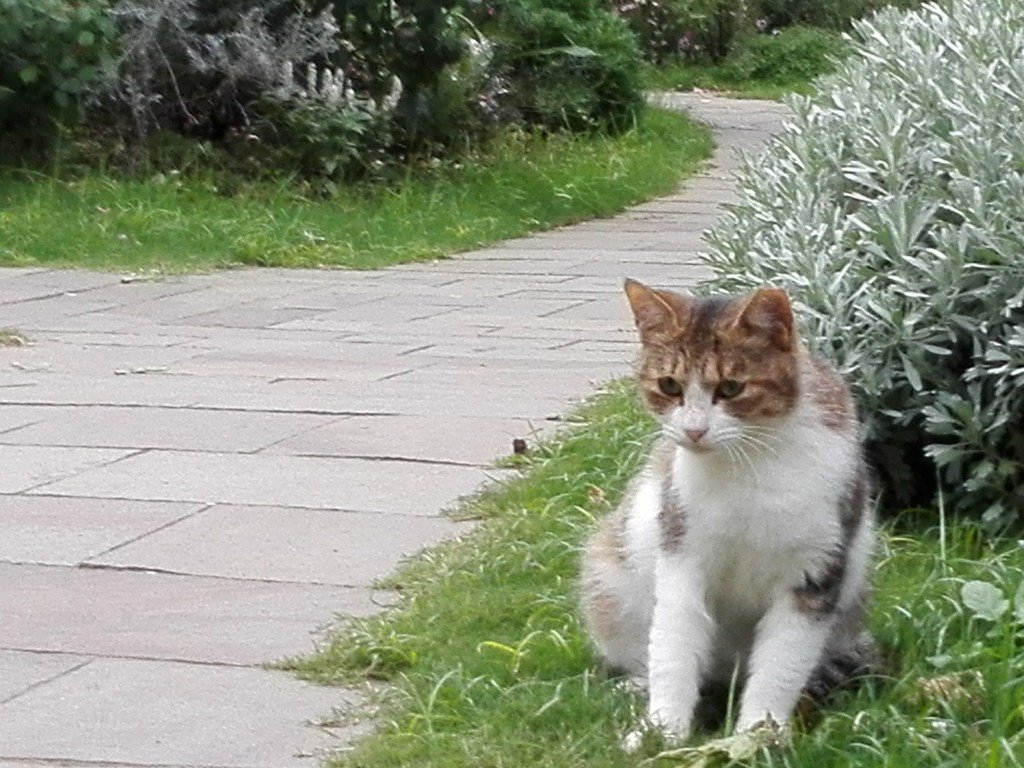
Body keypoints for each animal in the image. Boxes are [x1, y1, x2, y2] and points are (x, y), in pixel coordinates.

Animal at [581, 280, 876, 749]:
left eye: (732, 388)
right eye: (669, 384)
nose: (694, 430)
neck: (748, 465)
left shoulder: (815, 571)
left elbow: (781, 663)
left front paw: (759, 734)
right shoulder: (681, 551)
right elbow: (673, 646)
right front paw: (661, 731)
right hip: (611, 581)